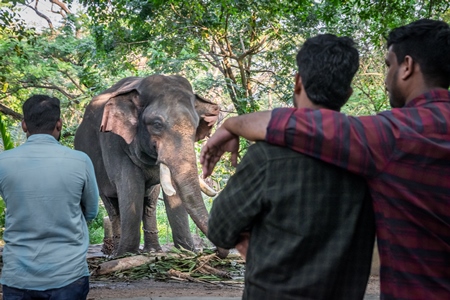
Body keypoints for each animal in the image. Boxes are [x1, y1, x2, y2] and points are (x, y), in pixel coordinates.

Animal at [75, 74, 229, 258]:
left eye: (196, 125)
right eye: (157, 124)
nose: (217, 252)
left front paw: (187, 252)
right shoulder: (114, 142)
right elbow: (131, 186)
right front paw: (126, 254)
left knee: (149, 201)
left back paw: (153, 251)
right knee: (112, 205)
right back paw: (115, 254)